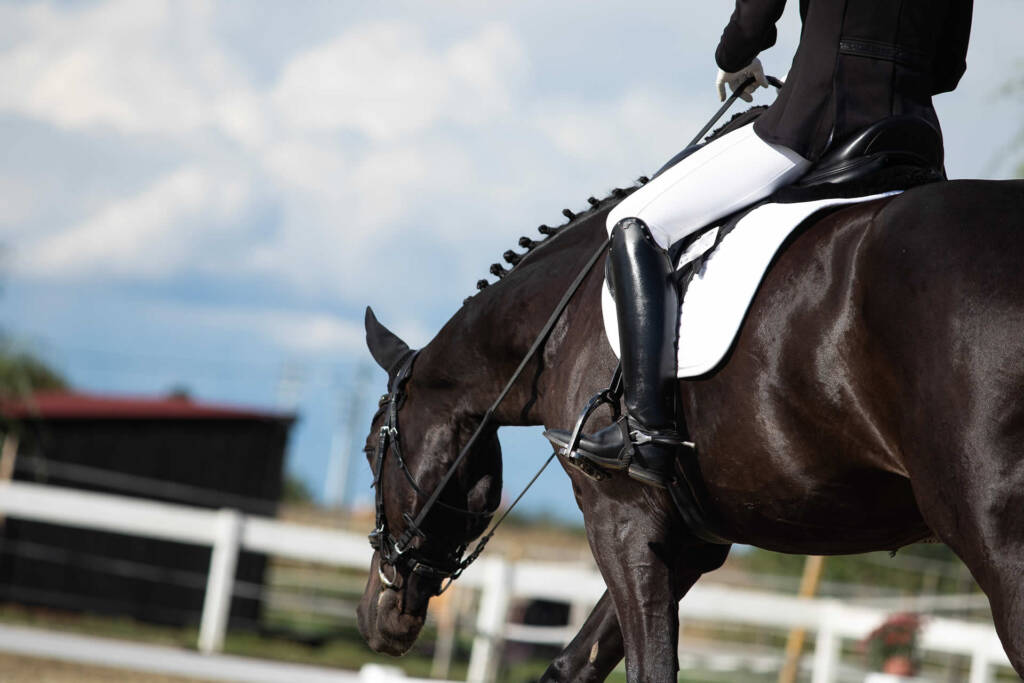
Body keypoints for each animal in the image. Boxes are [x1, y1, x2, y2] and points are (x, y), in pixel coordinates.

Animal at [355, 170, 1024, 681]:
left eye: (368, 451)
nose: (373, 618)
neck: (561, 321)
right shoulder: (690, 541)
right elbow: (571, 665)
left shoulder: (619, 518)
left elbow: (648, 668)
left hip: (998, 539)